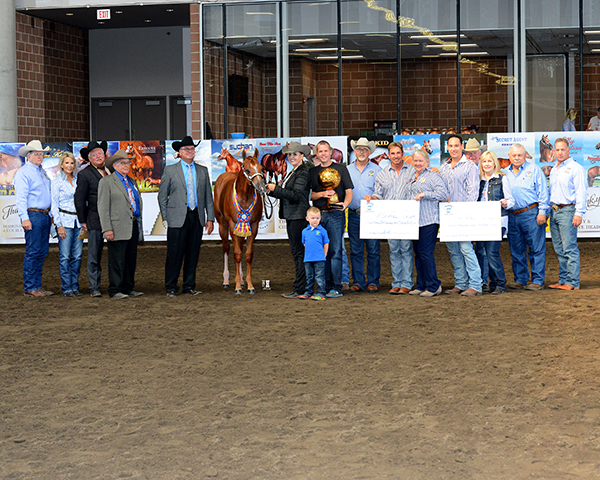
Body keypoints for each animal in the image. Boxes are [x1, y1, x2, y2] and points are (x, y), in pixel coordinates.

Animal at [213, 148, 264, 294]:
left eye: (261, 168)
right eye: (247, 169)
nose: (261, 187)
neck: (244, 197)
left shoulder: (253, 226)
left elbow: (247, 254)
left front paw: (249, 285)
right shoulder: (232, 225)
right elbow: (236, 254)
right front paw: (236, 287)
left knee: (240, 247)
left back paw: (241, 280)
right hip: (222, 225)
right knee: (226, 247)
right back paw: (226, 281)